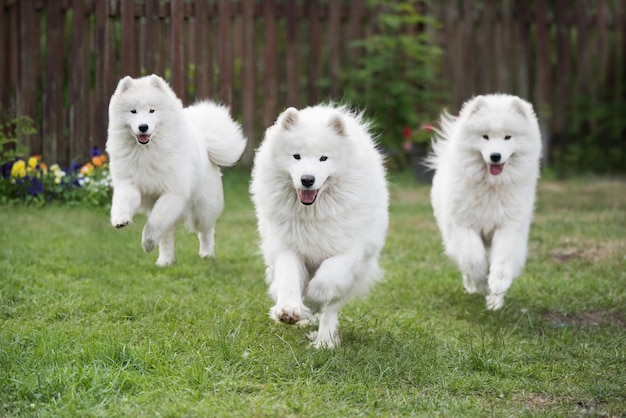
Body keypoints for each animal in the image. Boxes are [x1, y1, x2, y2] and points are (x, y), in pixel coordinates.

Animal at [106, 74, 245, 266]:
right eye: (133, 111)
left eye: (152, 111)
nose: (143, 127)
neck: (146, 151)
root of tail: (204, 140)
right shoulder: (129, 185)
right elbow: (122, 202)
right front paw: (120, 219)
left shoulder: (172, 193)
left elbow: (154, 222)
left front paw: (147, 241)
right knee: (167, 236)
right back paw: (165, 261)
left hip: (202, 209)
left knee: (206, 230)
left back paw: (206, 253)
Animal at [247, 104, 386, 350]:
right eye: (296, 156)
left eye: (323, 158)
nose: (307, 179)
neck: (312, 215)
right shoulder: (287, 247)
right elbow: (289, 278)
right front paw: (289, 310)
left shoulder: (347, 252)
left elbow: (325, 282)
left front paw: (311, 302)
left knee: (331, 308)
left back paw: (324, 340)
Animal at [426, 94, 540, 310]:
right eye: (485, 136)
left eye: (507, 137)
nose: (495, 156)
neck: (491, 186)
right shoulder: (464, 226)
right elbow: (473, 259)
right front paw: (481, 283)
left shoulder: (508, 226)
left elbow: (503, 261)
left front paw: (496, 289)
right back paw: (472, 285)